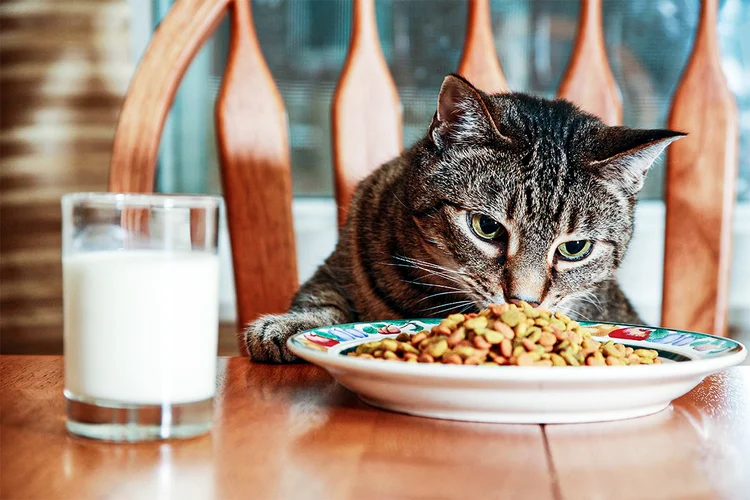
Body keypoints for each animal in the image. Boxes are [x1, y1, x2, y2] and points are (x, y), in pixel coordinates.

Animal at [244, 74, 684, 362]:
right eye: (486, 227)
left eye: (575, 248)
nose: (524, 301)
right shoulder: (339, 264)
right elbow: (322, 300)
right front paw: (291, 326)